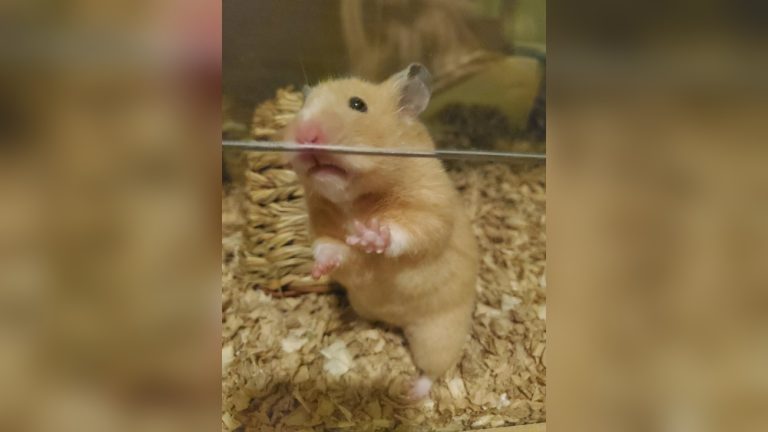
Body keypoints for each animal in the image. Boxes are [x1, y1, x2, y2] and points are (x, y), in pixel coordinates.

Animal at [283, 64, 478, 400]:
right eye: (302, 105)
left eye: (358, 104)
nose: (305, 134)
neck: (354, 199)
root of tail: (397, 321)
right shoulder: (322, 224)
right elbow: (328, 246)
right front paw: (319, 270)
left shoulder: (431, 208)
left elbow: (406, 231)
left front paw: (370, 235)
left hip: (439, 333)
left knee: (434, 368)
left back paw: (410, 393)